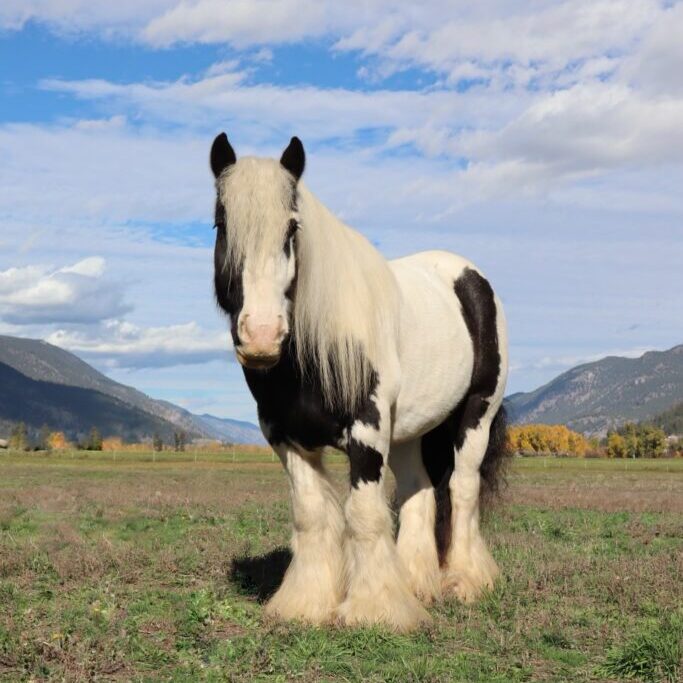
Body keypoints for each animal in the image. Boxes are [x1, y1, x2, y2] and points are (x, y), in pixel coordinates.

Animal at [211, 135, 510, 636]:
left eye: (292, 228)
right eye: (221, 223)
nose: (261, 336)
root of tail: (469, 276)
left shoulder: (367, 431)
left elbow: (364, 514)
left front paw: (376, 610)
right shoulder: (284, 437)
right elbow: (312, 515)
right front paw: (307, 603)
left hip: (477, 417)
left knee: (462, 489)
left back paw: (467, 582)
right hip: (411, 430)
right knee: (418, 491)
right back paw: (417, 584)